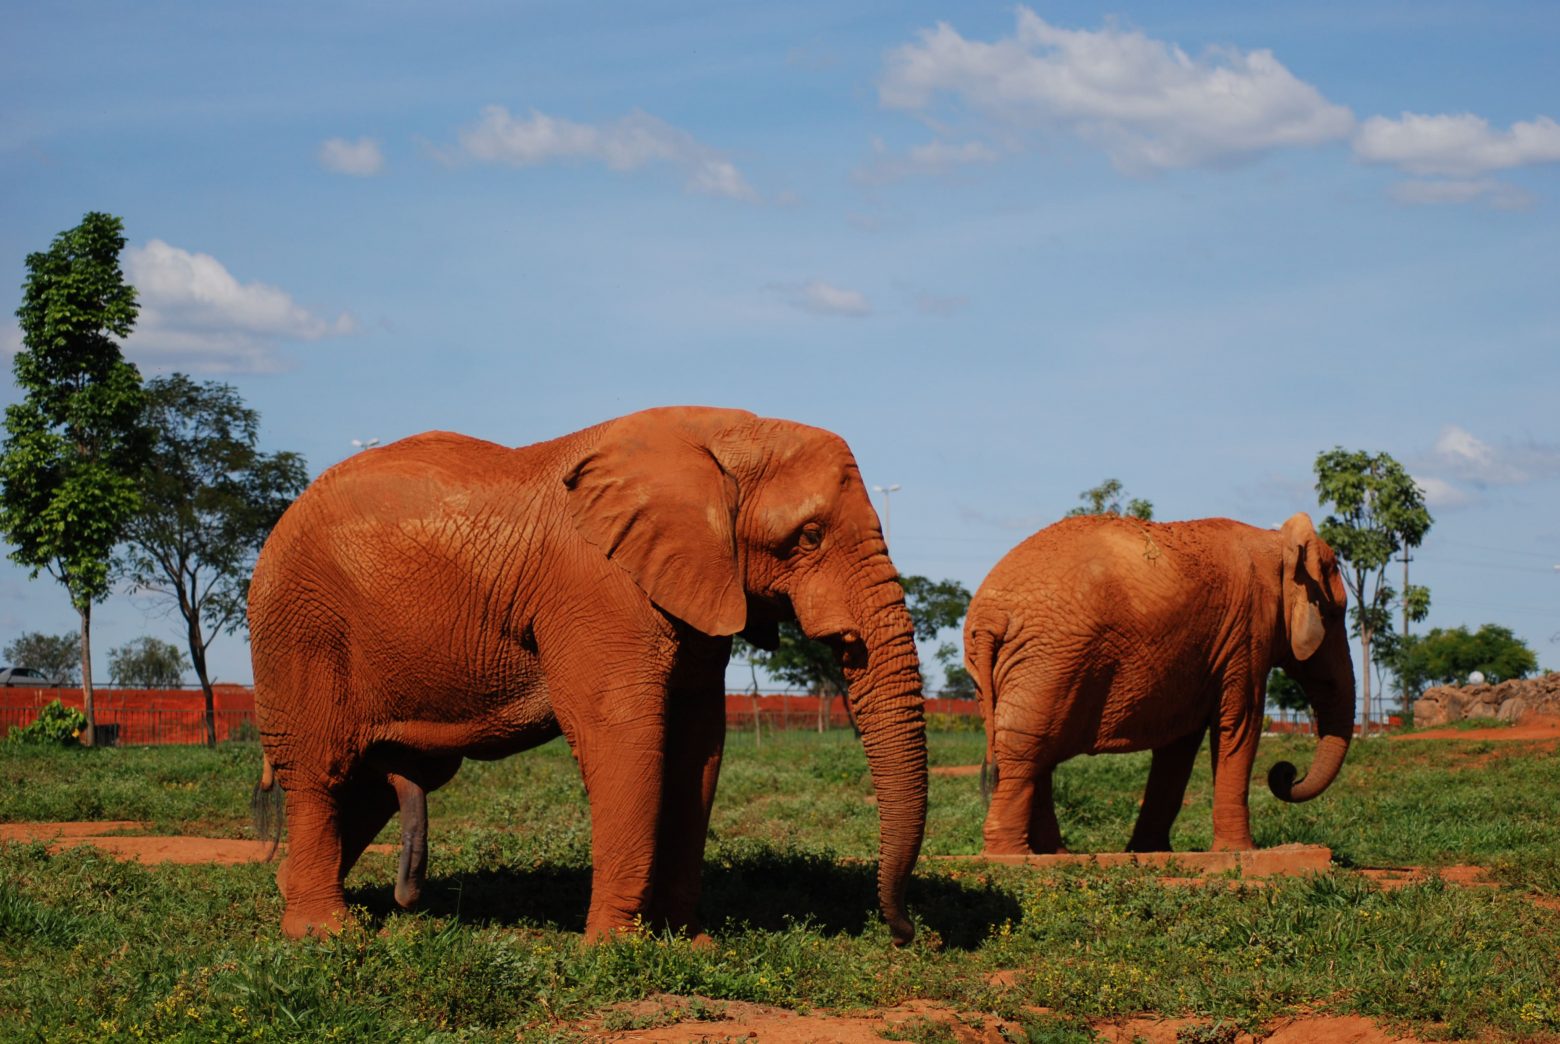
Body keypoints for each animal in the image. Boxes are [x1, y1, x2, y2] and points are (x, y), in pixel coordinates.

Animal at [246, 405, 923, 942]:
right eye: (808, 536)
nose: (905, 933)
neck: (721, 433)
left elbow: (698, 748)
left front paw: (690, 946)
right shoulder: (595, 587)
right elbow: (624, 735)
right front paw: (617, 951)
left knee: (377, 781)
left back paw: (305, 896)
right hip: (298, 625)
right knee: (321, 768)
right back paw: (324, 933)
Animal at [960, 511, 1354, 855]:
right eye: (1335, 614)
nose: (1286, 773)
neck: (1276, 542)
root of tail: (991, 616)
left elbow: (1179, 745)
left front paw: (1149, 850)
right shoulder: (1248, 632)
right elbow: (1240, 723)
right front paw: (1241, 852)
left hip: (1009, 665)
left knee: (1031, 746)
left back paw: (1054, 854)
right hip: (1052, 658)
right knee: (1027, 746)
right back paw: (1011, 855)